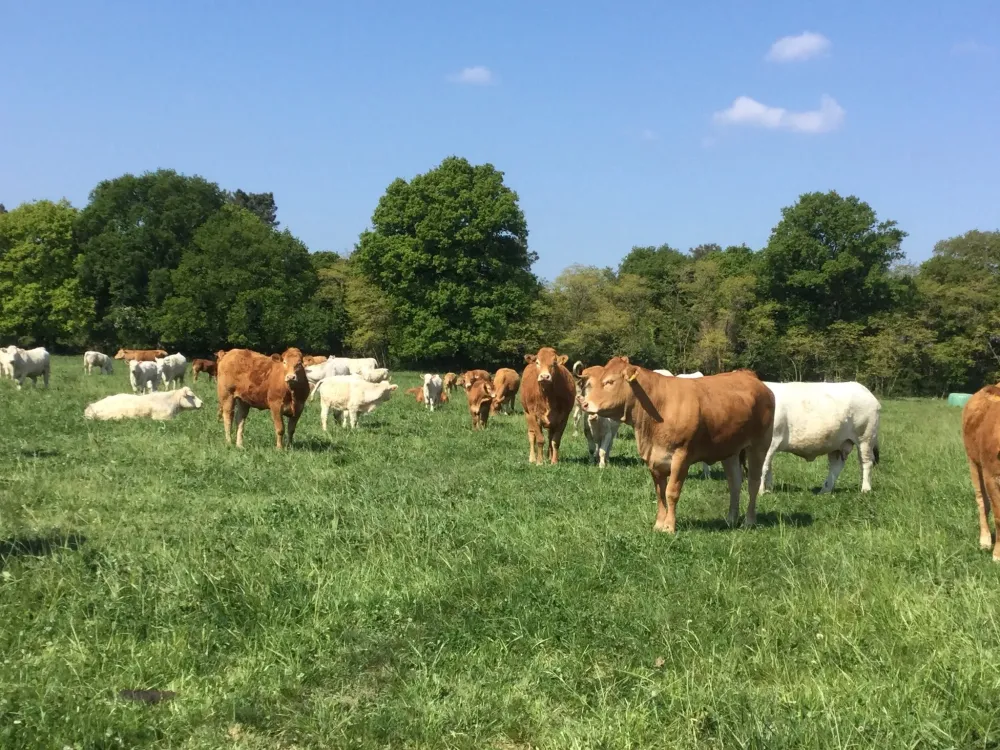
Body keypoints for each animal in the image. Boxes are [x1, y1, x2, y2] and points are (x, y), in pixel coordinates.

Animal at [579, 357, 774, 533]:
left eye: (609, 382)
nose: (584, 403)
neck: (658, 405)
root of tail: (749, 376)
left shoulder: (681, 457)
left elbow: (671, 492)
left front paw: (669, 526)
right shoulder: (654, 458)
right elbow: (659, 493)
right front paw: (658, 524)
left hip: (758, 446)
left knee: (753, 482)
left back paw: (749, 521)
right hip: (730, 450)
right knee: (734, 483)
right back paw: (731, 519)